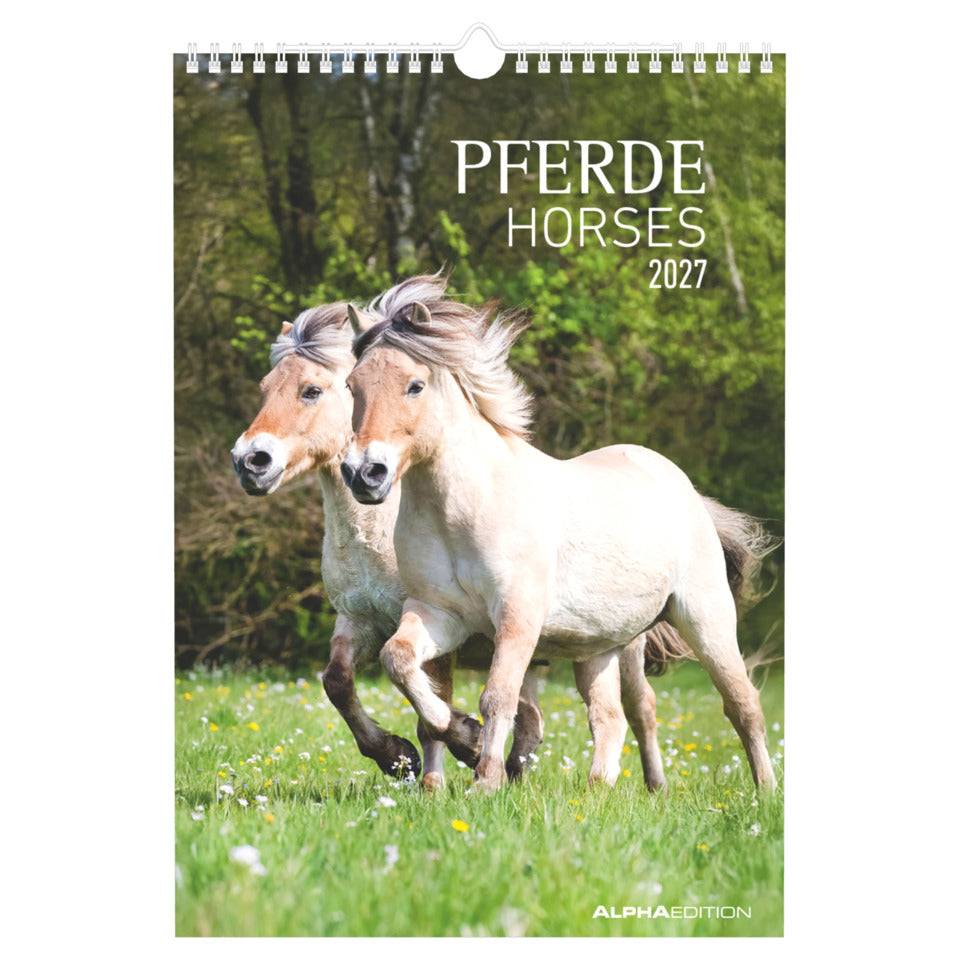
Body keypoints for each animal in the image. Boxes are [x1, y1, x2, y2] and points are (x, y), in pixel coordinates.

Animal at [231, 301, 686, 791]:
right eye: (265, 388)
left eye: (311, 391)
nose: (249, 461)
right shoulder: (360, 621)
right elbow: (338, 683)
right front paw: (398, 758)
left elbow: (432, 706)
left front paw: (458, 748)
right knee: (534, 720)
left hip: (624, 644)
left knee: (640, 709)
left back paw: (653, 786)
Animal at [341, 274, 777, 793]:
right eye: (351, 386)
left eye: (415, 385)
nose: (364, 473)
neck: (463, 512)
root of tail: (683, 487)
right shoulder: (437, 614)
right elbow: (400, 661)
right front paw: (457, 737)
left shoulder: (517, 617)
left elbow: (499, 696)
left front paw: (484, 774)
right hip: (600, 647)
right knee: (611, 718)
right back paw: (595, 791)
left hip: (706, 618)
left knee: (742, 705)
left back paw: (765, 791)